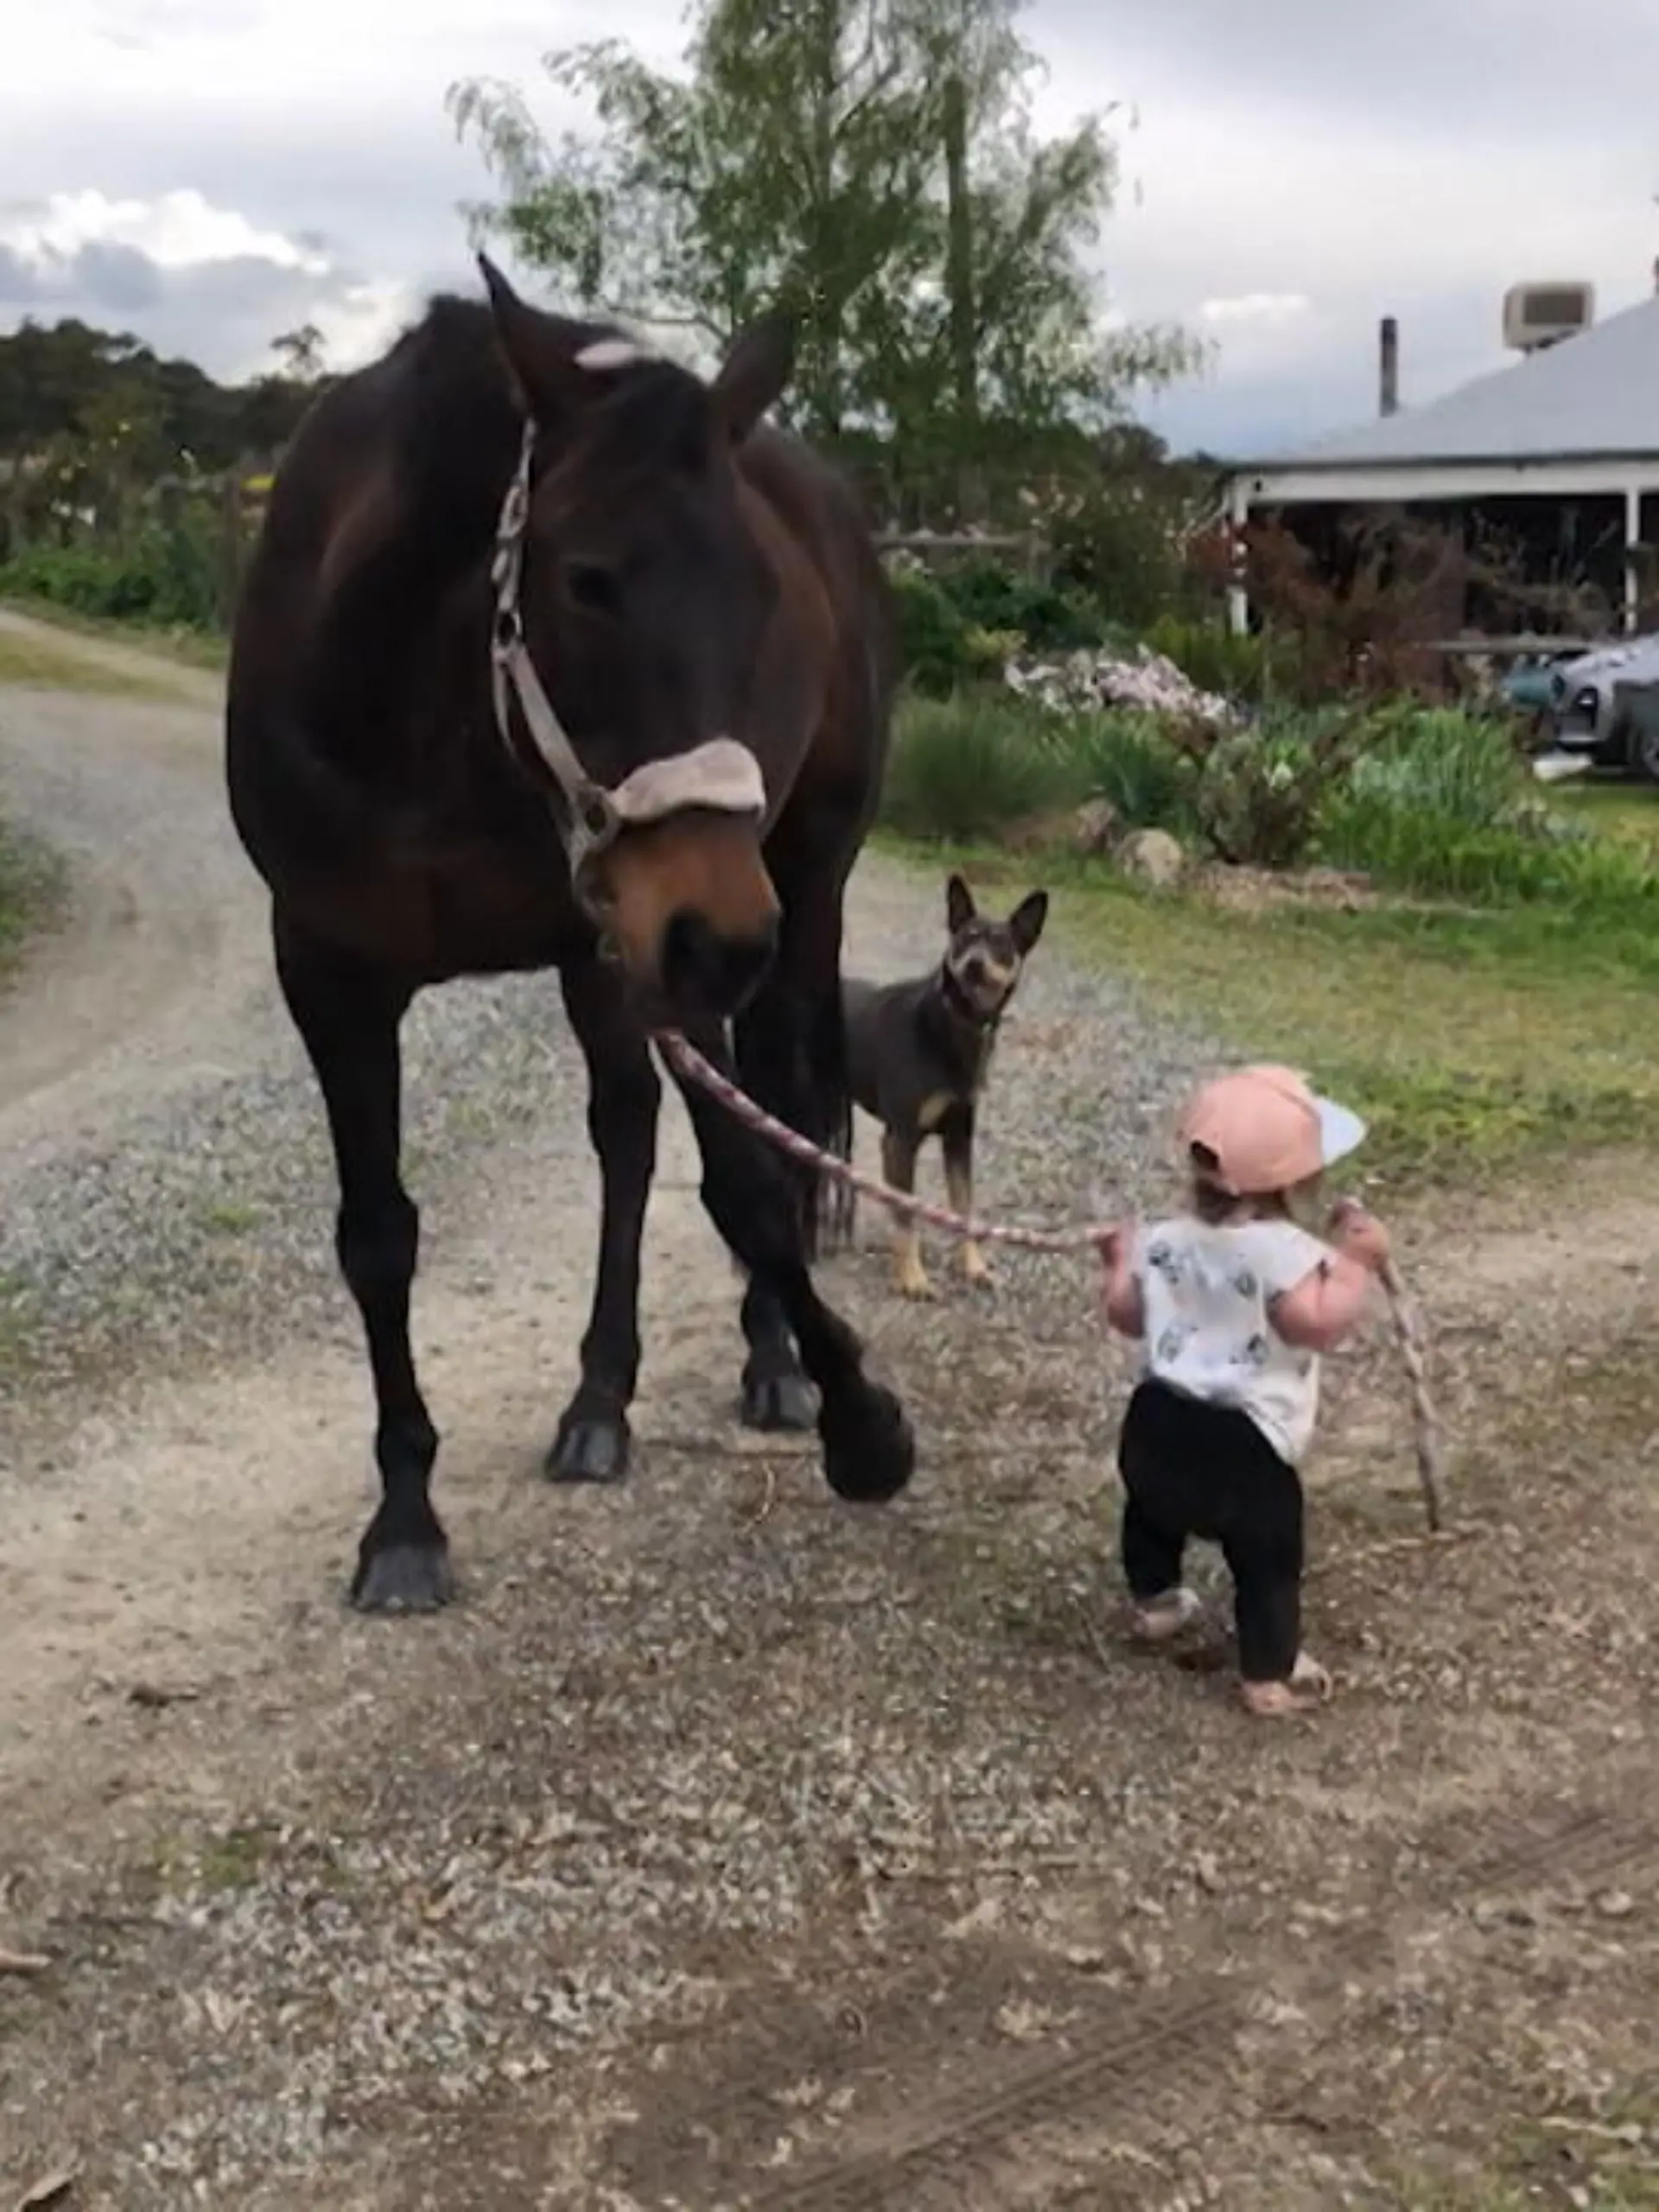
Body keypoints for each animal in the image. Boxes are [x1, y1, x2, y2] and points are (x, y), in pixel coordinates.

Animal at [224, 254, 915, 1612]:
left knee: (769, 1105)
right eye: (587, 578)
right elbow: (377, 1237)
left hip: (786, 892)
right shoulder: (329, 972)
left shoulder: (646, 938)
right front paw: (405, 1517)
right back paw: (602, 1398)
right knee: (635, 1135)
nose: (723, 934)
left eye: (764, 592)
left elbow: (747, 1182)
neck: (422, 713)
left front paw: (858, 1416)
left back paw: (764, 1366)